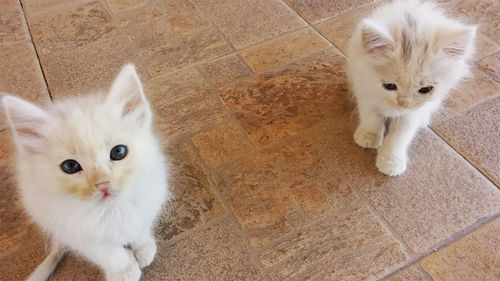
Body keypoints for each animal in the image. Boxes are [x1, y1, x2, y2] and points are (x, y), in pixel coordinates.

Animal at [0, 64, 171, 278]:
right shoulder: (72, 230)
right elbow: (108, 253)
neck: (111, 210)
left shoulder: (149, 196)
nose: (103, 184)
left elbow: (139, 226)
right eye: (70, 166)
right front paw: (124, 270)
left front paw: (143, 248)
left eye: (118, 152)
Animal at [346, 0, 474, 175]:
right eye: (389, 86)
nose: (404, 104)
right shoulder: (365, 90)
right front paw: (368, 136)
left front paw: (390, 161)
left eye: (425, 89)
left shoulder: (412, 114)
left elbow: (399, 136)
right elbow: (371, 116)